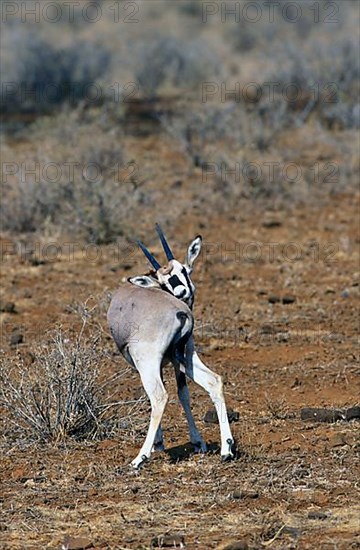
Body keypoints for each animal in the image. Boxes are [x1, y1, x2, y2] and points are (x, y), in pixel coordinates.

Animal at [108, 224, 235, 470]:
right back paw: (226, 448)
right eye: (165, 280)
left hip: (148, 362)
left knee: (159, 396)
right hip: (186, 356)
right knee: (213, 380)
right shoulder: (177, 360)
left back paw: (139, 458)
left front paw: (158, 443)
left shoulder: (143, 364)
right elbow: (183, 392)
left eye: (183, 270)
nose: (181, 292)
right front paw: (197, 442)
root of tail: (179, 311)